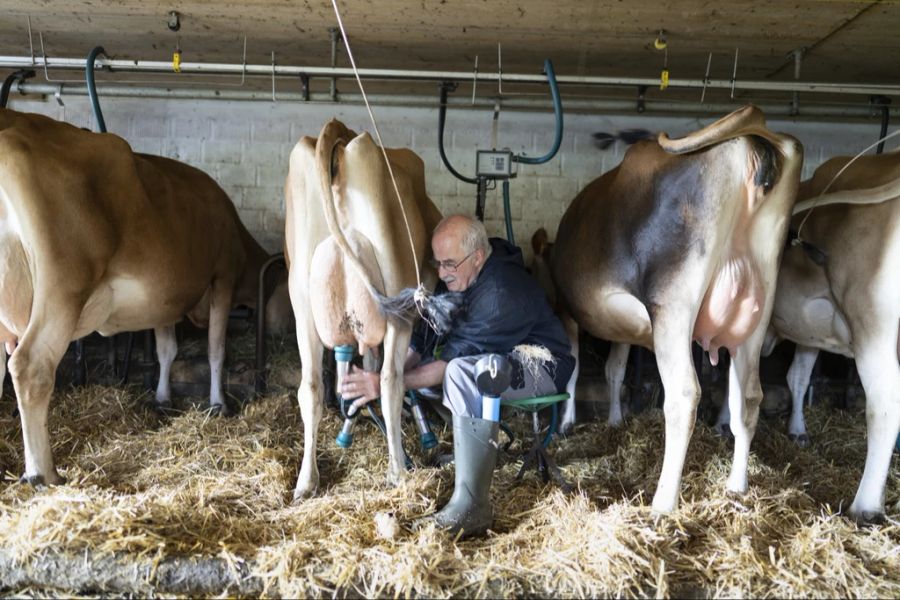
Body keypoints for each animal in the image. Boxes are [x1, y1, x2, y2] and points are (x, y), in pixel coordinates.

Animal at [0, 109, 284, 488]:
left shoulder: (165, 301)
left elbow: (167, 351)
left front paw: (163, 397)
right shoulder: (222, 276)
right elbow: (215, 349)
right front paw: (219, 403)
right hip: (62, 292)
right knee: (30, 368)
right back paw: (42, 472)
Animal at [280, 119, 438, 500]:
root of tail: (344, 135)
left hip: (302, 302)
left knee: (310, 386)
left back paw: (306, 482)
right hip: (399, 298)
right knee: (391, 379)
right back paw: (398, 472)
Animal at [548, 105, 800, 512]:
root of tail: (752, 141)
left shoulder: (565, 309)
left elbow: (573, 369)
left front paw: (568, 423)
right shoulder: (622, 329)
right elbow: (615, 369)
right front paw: (615, 421)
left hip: (673, 306)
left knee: (684, 394)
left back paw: (663, 501)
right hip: (757, 310)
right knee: (748, 398)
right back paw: (737, 486)